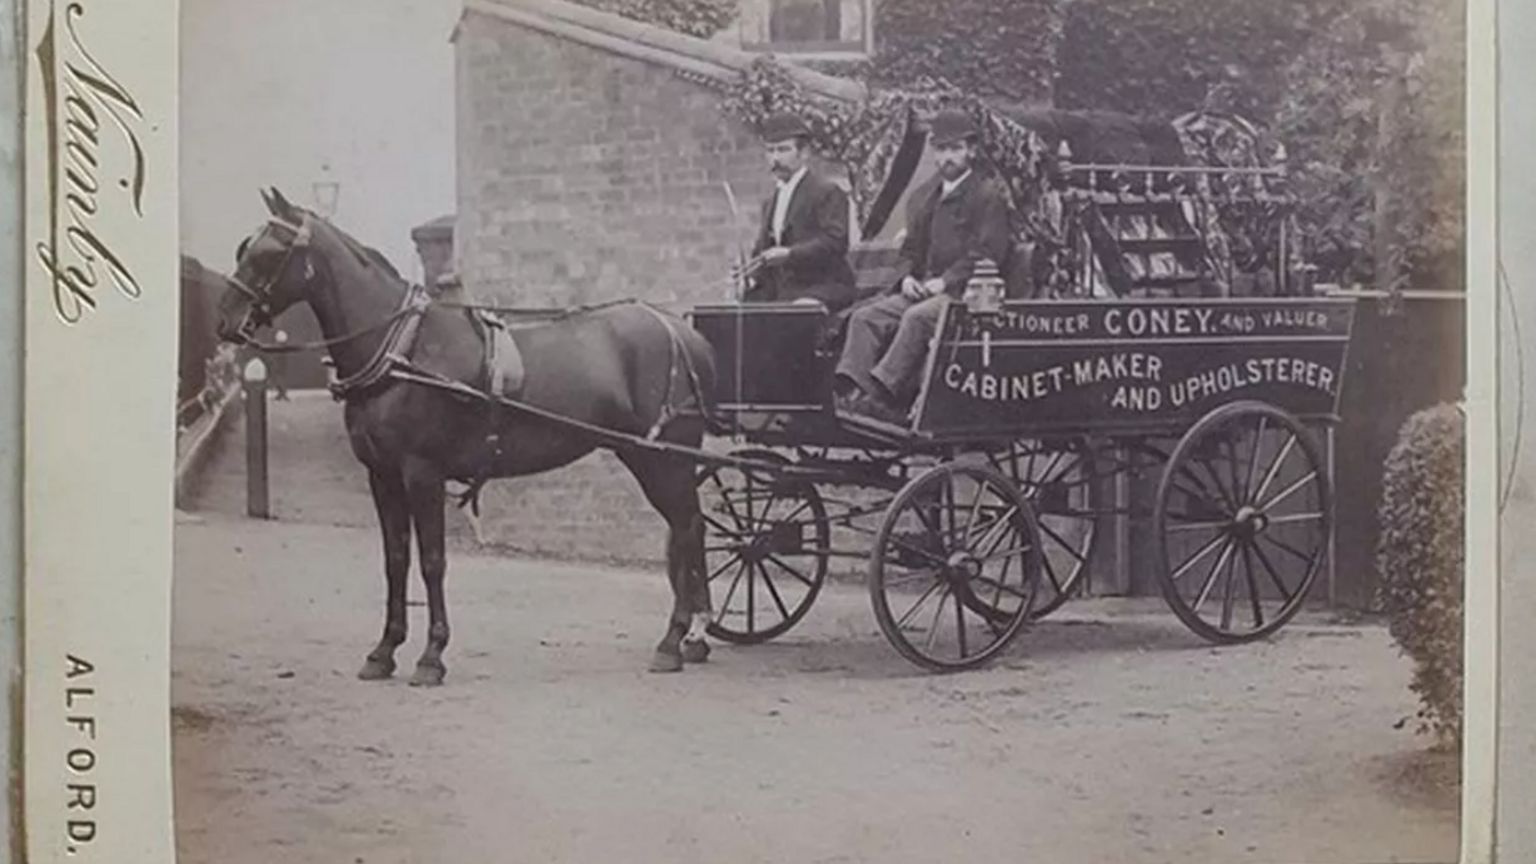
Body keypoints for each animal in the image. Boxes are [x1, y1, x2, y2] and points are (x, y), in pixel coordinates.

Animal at [213, 185, 721, 682]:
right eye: (244, 248)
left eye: (266, 253)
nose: (225, 321)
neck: (405, 348)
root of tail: (683, 333)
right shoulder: (382, 475)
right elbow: (395, 560)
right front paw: (384, 650)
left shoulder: (423, 473)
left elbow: (432, 561)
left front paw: (431, 655)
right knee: (690, 530)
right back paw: (694, 638)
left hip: (663, 460)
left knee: (687, 528)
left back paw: (675, 640)